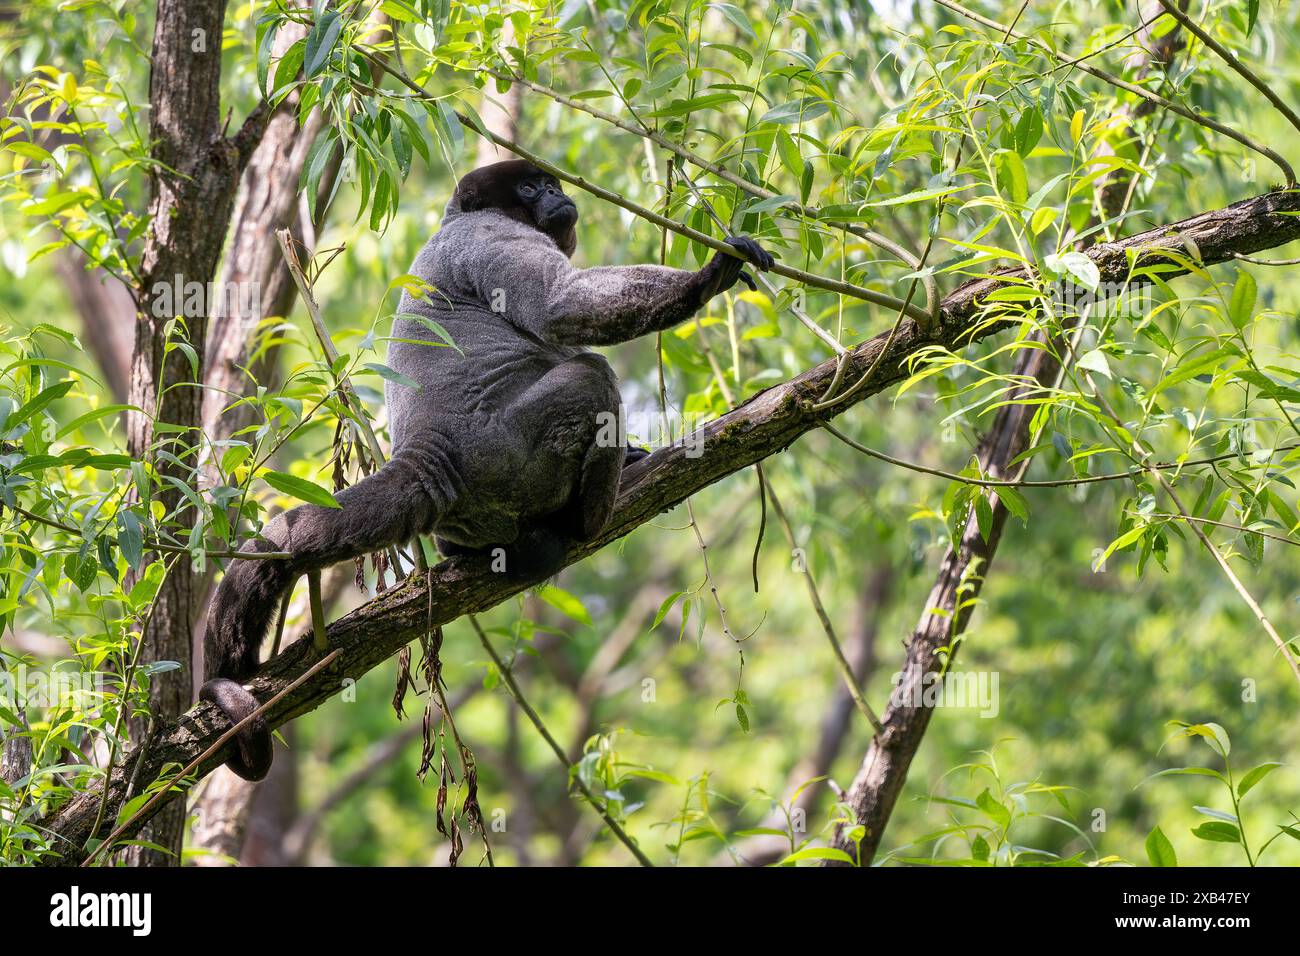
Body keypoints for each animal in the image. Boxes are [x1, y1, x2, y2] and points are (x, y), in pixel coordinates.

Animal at [200, 159, 774, 780]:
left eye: (550, 183)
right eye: (527, 187)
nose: (554, 193)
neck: (459, 218)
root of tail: (431, 458)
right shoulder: (492, 236)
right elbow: (560, 306)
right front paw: (710, 275)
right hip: (510, 459)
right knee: (588, 373)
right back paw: (584, 520)